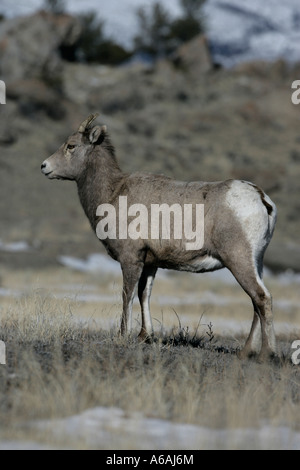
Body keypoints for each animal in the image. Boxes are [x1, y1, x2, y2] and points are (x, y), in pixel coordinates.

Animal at [41, 114, 278, 360]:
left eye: (71, 146)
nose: (44, 166)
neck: (113, 193)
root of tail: (262, 199)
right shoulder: (150, 264)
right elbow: (144, 294)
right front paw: (144, 336)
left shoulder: (131, 259)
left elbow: (127, 296)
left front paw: (123, 336)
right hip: (255, 263)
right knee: (256, 302)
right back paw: (246, 352)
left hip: (239, 260)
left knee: (262, 298)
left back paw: (266, 354)